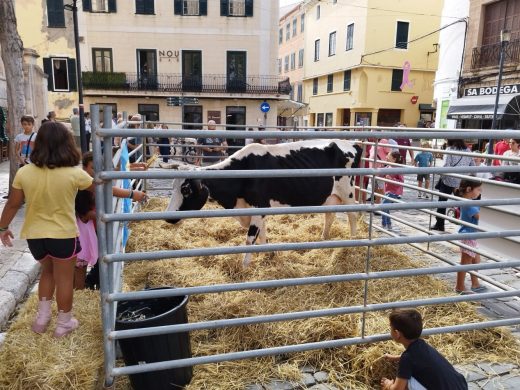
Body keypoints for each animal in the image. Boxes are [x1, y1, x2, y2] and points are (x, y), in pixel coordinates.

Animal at [167, 139, 362, 266]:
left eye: (186, 190)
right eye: (173, 187)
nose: (168, 217)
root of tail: (351, 143)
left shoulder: (259, 207)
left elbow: (250, 239)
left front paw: (245, 267)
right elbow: (262, 236)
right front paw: (270, 255)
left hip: (348, 192)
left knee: (352, 215)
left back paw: (352, 243)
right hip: (331, 197)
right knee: (330, 215)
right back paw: (324, 239)